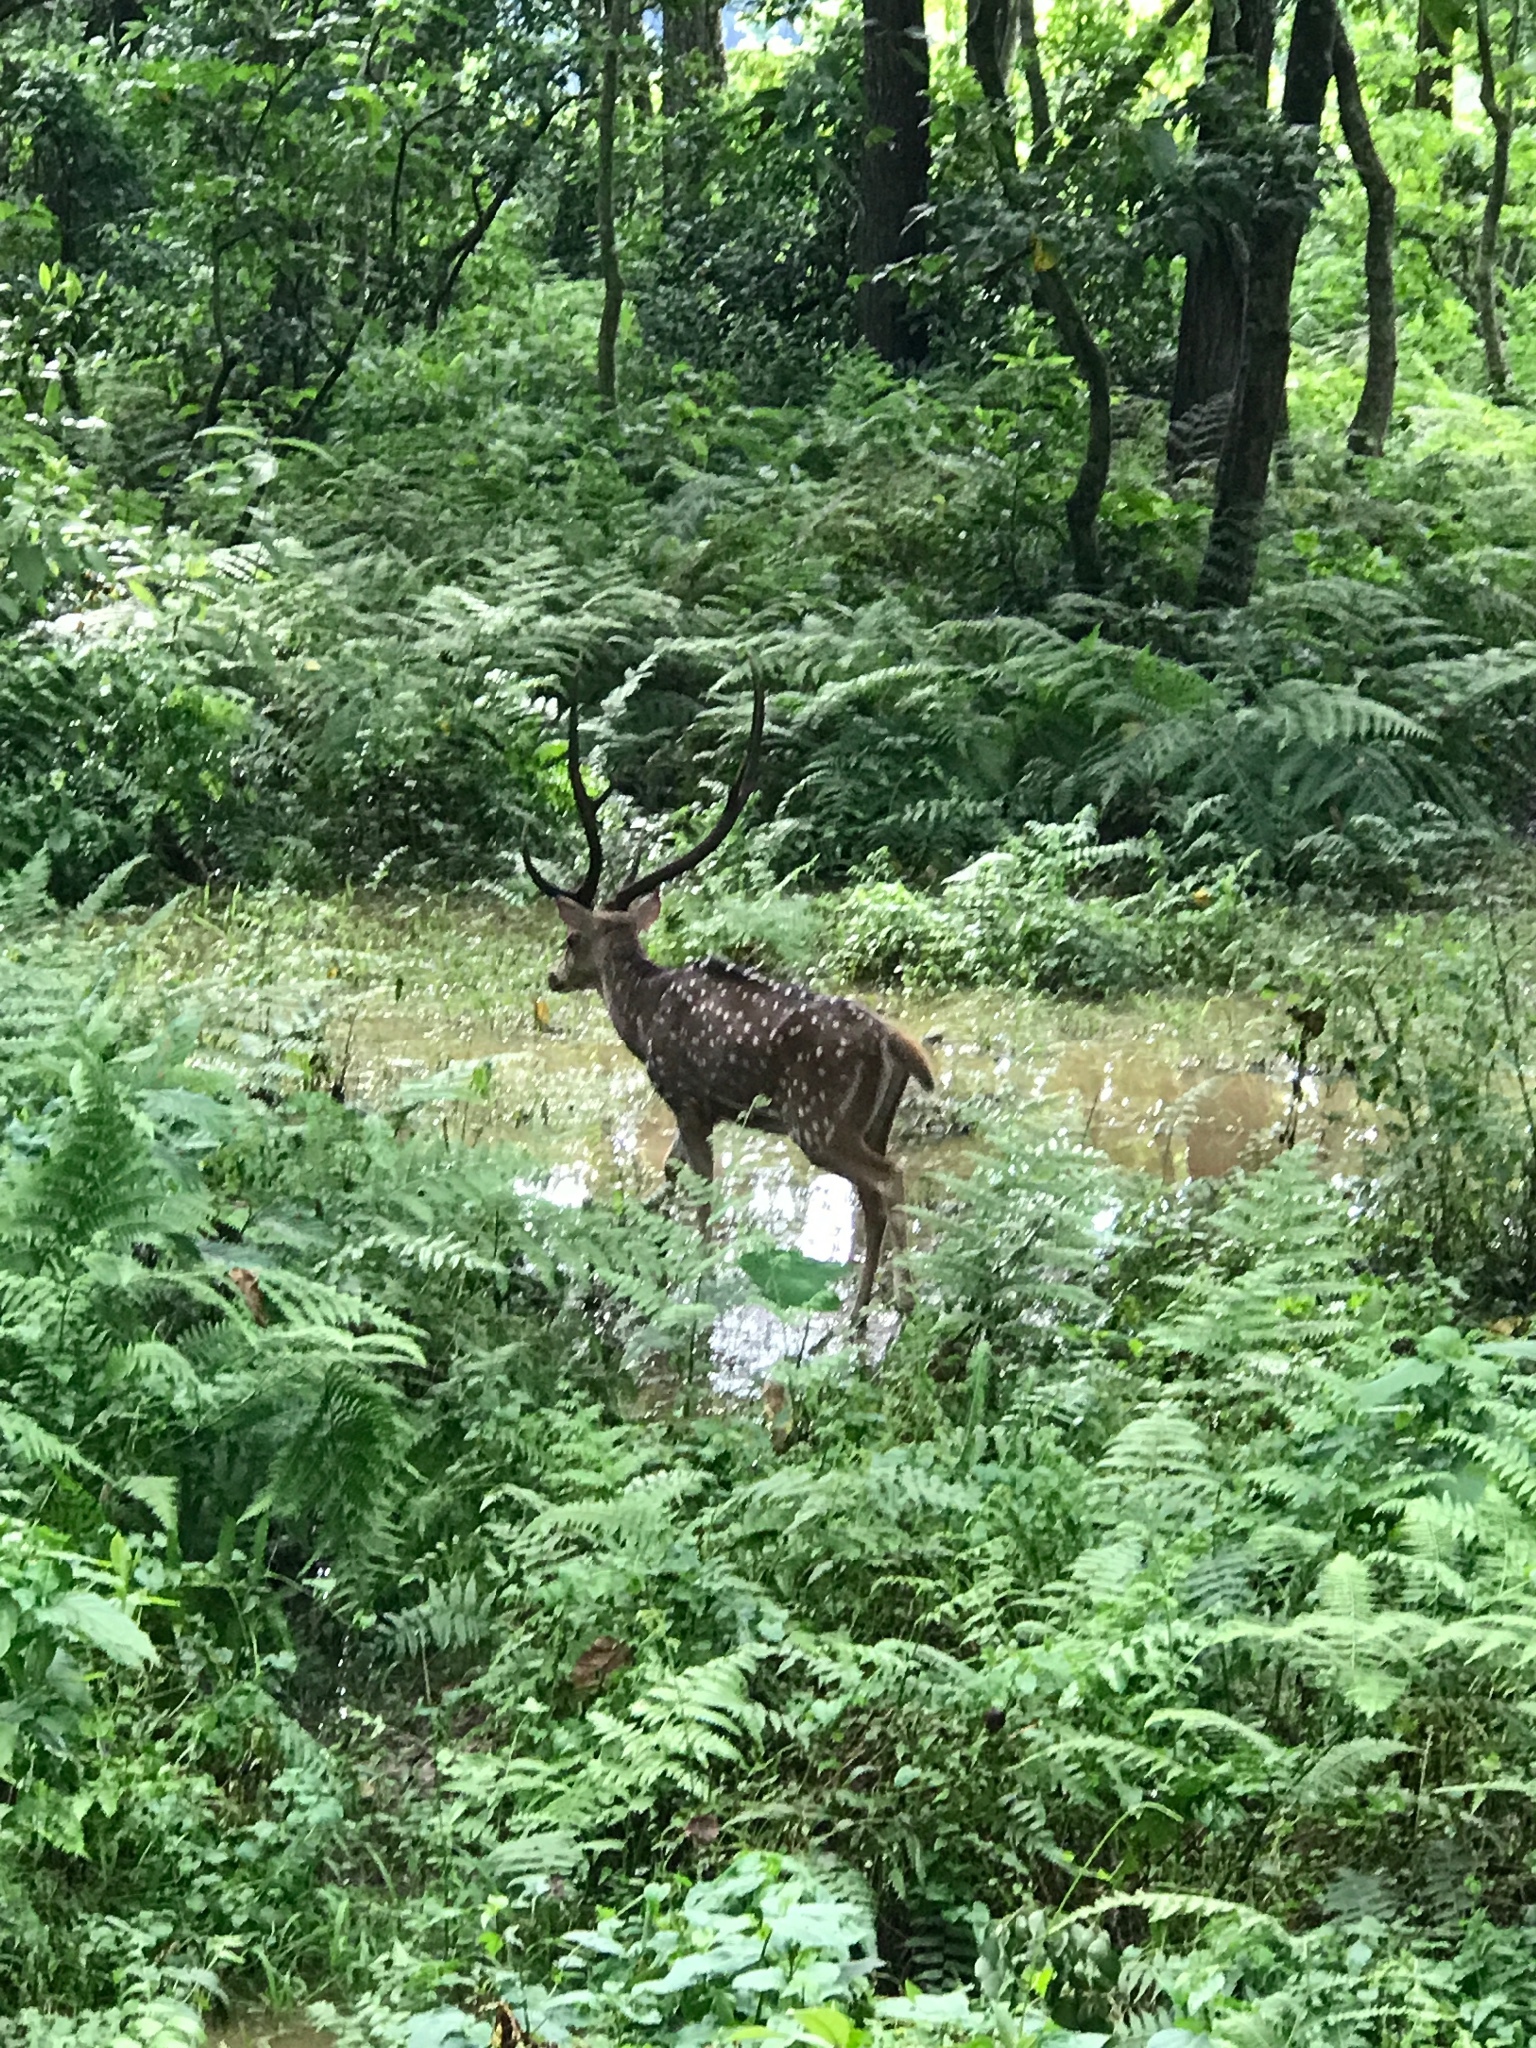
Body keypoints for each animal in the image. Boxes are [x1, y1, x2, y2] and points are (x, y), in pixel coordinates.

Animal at [528, 675, 937, 1310]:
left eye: (572, 939)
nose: (553, 975)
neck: (642, 1015)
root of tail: (893, 1044)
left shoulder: (684, 1094)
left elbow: (700, 1189)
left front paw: (691, 1280)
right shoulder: (706, 1109)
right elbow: (671, 1173)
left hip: (818, 1119)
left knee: (886, 1180)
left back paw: (885, 1308)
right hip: (875, 1121)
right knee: (875, 1195)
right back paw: (875, 1306)